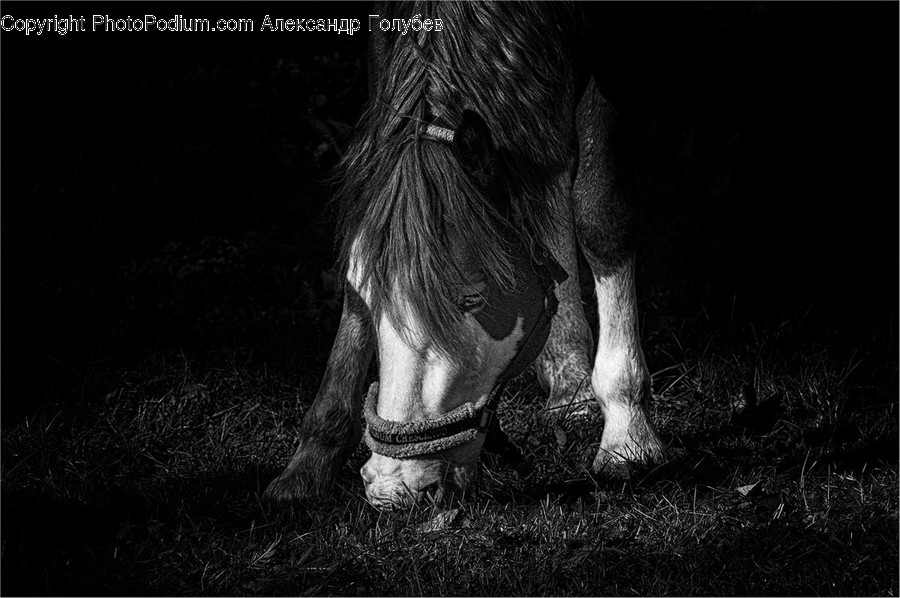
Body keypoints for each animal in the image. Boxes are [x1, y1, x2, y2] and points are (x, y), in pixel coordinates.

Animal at [266, 1, 665, 509]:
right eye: (366, 298)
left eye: (472, 299)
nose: (394, 488)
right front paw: (311, 460)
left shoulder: (617, 47)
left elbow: (601, 215)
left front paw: (627, 432)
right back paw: (570, 378)